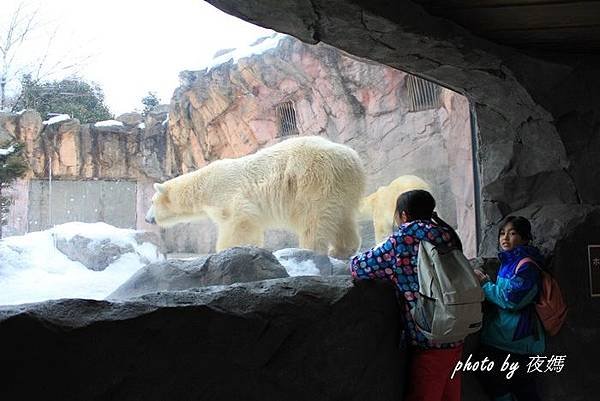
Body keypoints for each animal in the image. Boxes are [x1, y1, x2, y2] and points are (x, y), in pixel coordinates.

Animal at [145, 136, 366, 258]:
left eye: (152, 202)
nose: (147, 219)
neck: (204, 184)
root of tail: (351, 157)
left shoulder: (226, 193)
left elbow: (238, 221)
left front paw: (226, 250)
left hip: (313, 178)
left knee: (314, 217)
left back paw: (309, 249)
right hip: (341, 185)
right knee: (342, 217)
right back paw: (342, 250)